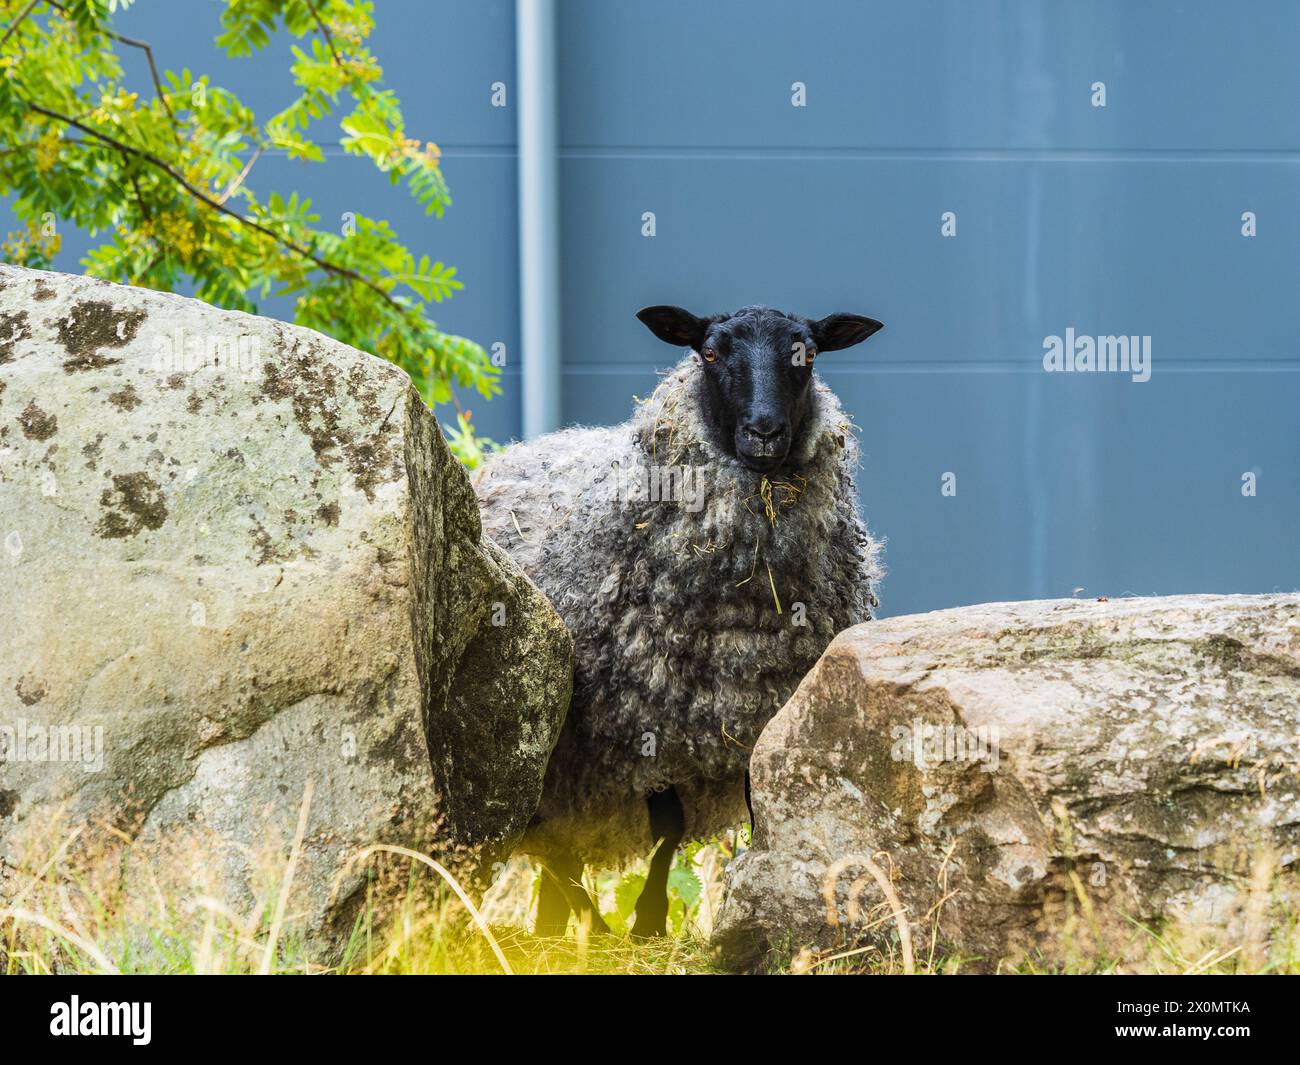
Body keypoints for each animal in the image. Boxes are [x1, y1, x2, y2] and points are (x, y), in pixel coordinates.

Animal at [473, 304, 884, 936]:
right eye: (709, 353)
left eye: (808, 354)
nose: (764, 432)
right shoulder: (651, 719)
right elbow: (669, 825)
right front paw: (648, 923)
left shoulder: (760, 716)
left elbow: (756, 814)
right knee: (553, 844)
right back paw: (590, 925)